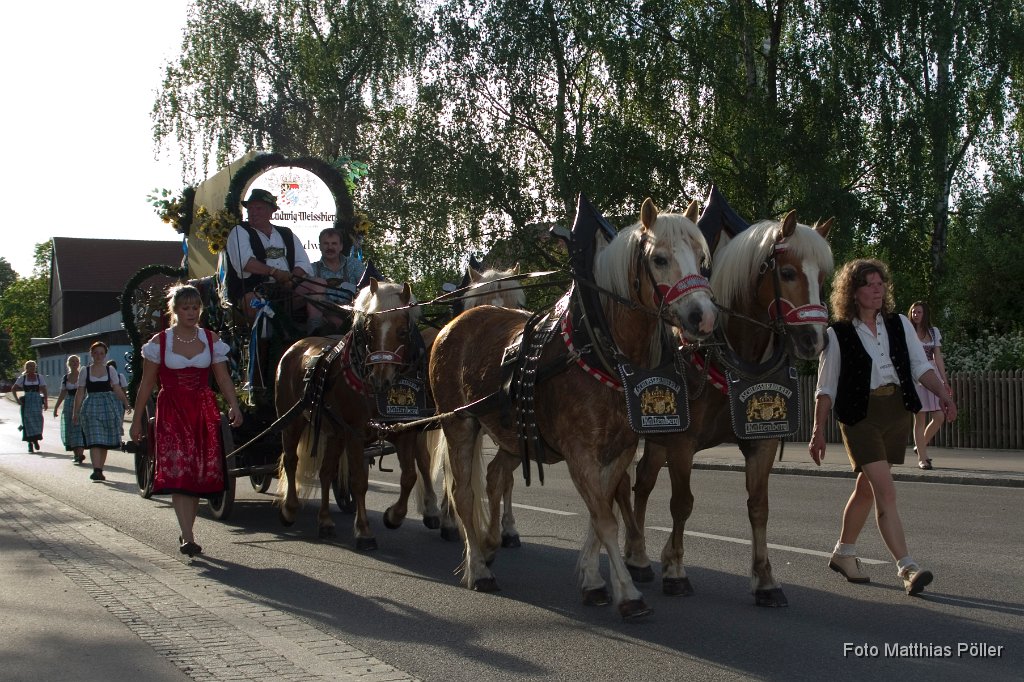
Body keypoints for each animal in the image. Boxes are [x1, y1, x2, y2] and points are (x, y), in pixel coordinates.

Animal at [275, 279, 439, 548]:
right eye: (370, 331)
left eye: (402, 331)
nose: (380, 378)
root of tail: (296, 346)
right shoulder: (355, 434)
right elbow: (359, 481)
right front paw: (363, 531)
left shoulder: (403, 431)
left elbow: (409, 475)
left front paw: (393, 516)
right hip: (292, 421)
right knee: (291, 460)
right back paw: (289, 509)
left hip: (334, 433)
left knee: (326, 472)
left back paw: (325, 521)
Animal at [428, 198, 718, 619]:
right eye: (660, 259)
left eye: (701, 258)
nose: (704, 316)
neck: (597, 348)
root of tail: (456, 323)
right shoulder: (579, 451)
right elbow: (605, 519)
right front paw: (628, 593)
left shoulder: (620, 450)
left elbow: (602, 513)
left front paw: (594, 580)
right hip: (459, 423)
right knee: (462, 493)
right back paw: (479, 568)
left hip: (510, 434)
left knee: (496, 477)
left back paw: (492, 543)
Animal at [622, 210, 833, 607]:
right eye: (787, 273)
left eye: (823, 277)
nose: (814, 339)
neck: (725, 354)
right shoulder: (682, 443)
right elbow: (682, 503)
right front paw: (675, 569)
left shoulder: (762, 442)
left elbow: (759, 507)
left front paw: (765, 579)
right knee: (633, 485)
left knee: (641, 483)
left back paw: (636, 554)